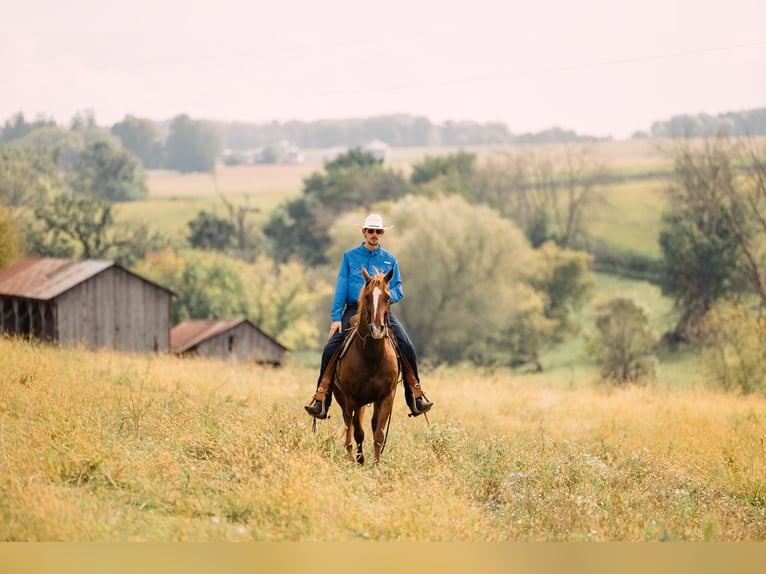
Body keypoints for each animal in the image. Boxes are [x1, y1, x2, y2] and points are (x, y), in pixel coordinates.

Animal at [332, 267, 400, 471]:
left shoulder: (386, 397)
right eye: (368, 297)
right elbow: (358, 432)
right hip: (342, 398)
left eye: (388, 297)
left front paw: (377, 467)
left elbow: (378, 433)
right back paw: (349, 454)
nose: (377, 329)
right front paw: (360, 461)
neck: (372, 357)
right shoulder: (353, 398)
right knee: (348, 422)